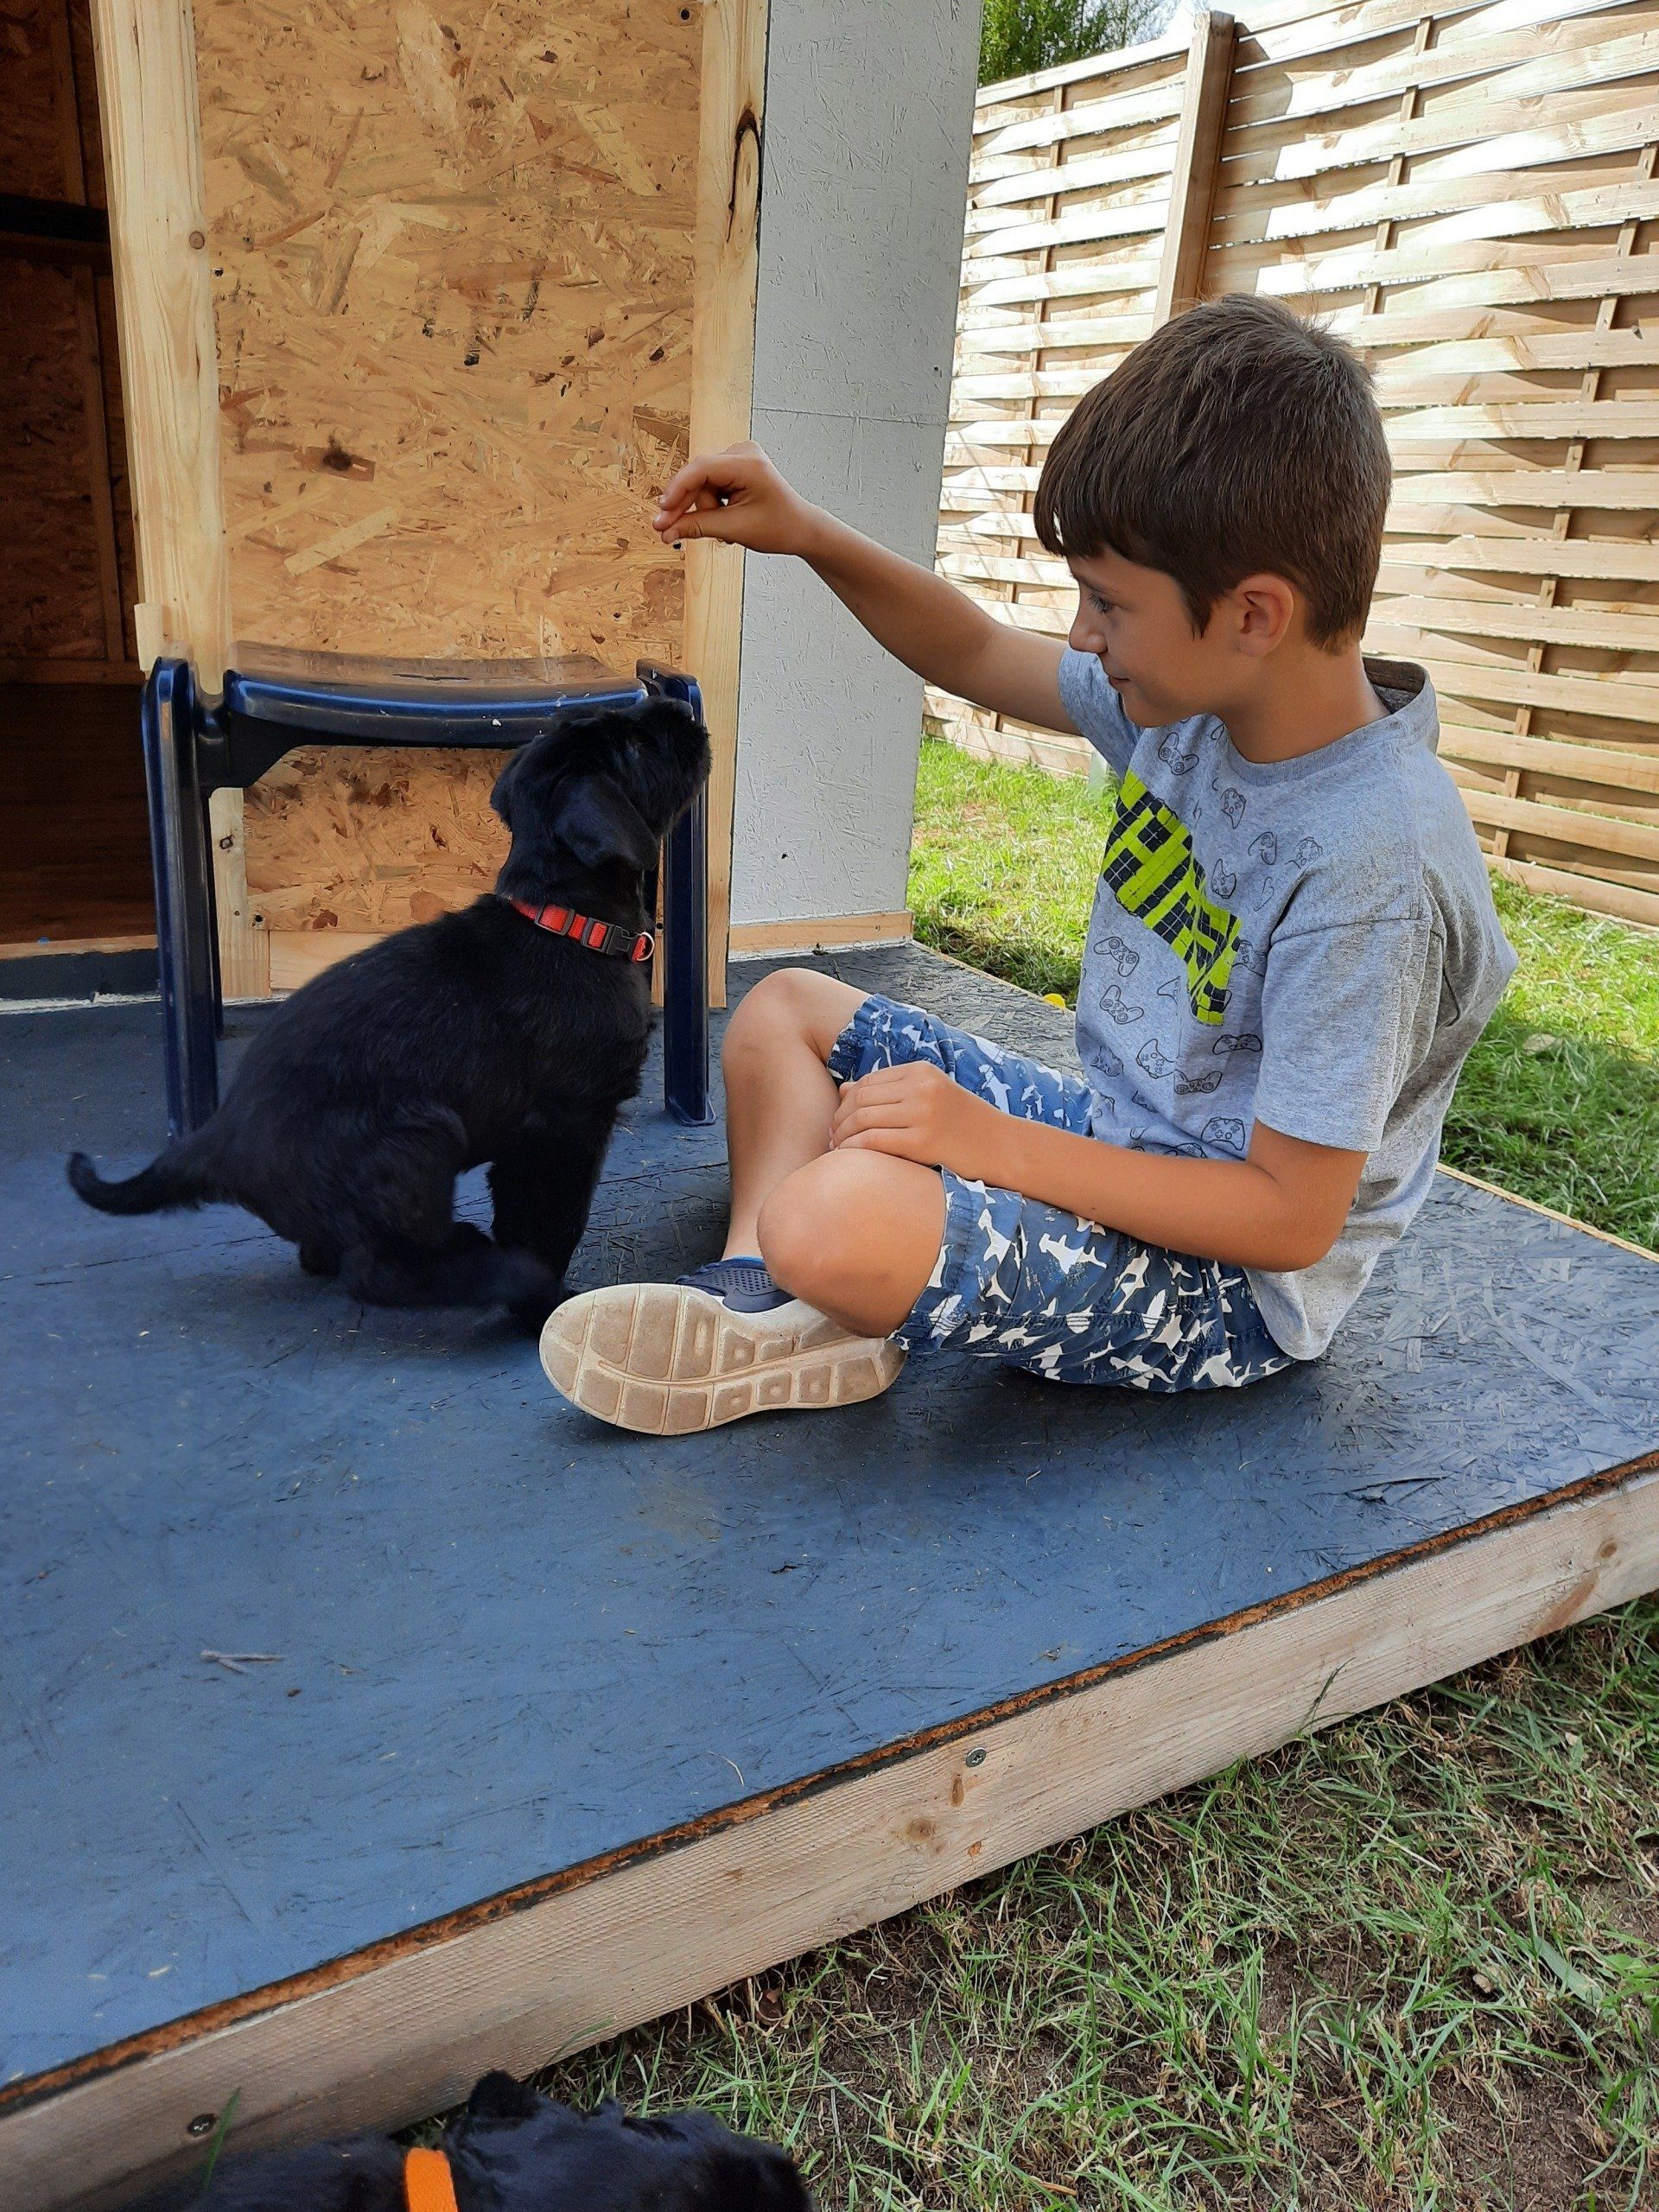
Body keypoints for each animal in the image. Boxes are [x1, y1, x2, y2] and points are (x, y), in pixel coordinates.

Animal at [68, 698, 709, 1324]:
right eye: (634, 746)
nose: (685, 712)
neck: (569, 924)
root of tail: (221, 1138)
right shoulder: (564, 1126)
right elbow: (550, 1225)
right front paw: (546, 1306)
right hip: (419, 1138)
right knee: (374, 1272)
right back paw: (499, 1273)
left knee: (325, 1253)